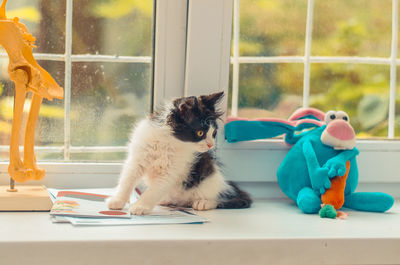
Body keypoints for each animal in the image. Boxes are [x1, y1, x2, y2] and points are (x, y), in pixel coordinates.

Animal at [106, 91, 250, 214]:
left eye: (214, 133)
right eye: (200, 133)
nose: (211, 144)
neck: (167, 140)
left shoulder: (171, 170)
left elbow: (154, 190)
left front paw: (141, 206)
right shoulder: (138, 159)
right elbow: (127, 180)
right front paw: (117, 201)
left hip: (210, 181)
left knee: (222, 198)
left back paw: (203, 202)